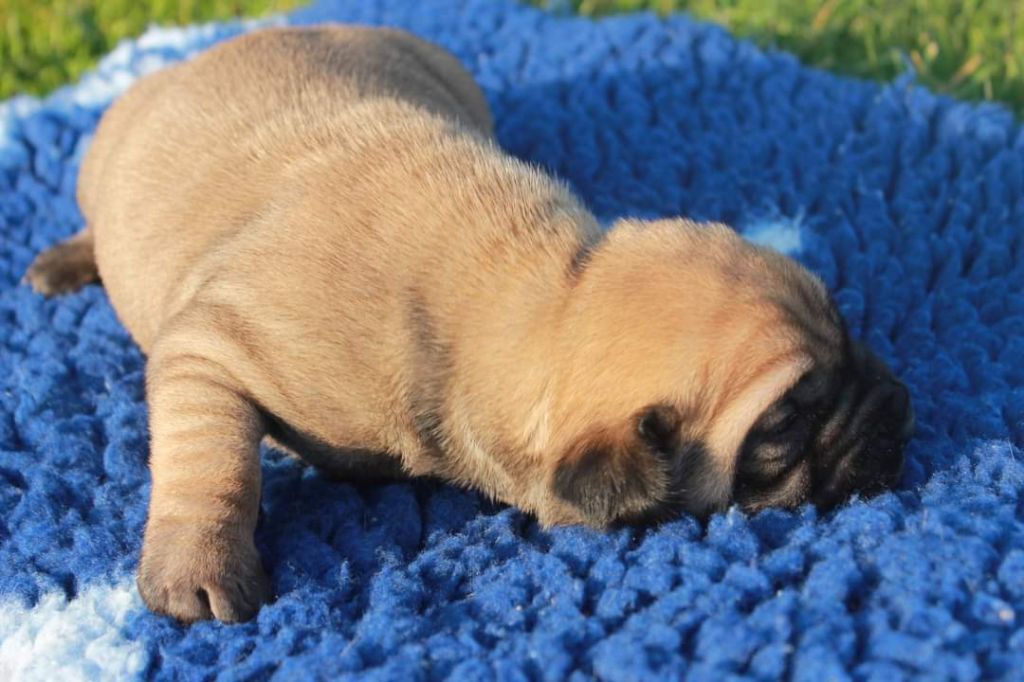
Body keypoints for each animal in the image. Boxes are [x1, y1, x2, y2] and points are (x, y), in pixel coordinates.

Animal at [25, 25, 915, 623]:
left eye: (848, 327)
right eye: (782, 425)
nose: (899, 402)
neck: (541, 294)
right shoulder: (213, 346)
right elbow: (210, 457)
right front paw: (198, 564)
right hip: (102, 161)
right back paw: (64, 261)